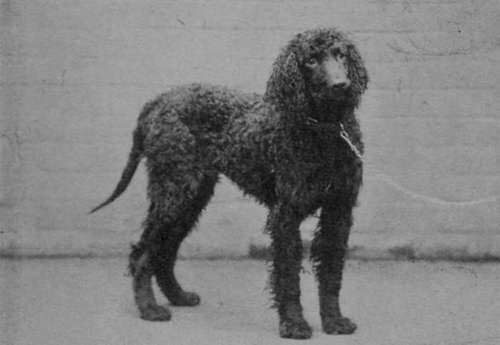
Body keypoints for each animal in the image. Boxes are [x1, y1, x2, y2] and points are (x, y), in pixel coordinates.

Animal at [92, 27, 368, 338]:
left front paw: (334, 320)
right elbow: (288, 275)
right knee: (144, 254)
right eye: (310, 60)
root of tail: (159, 100)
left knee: (164, 250)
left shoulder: (339, 211)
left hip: (192, 197)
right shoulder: (285, 214)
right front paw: (294, 324)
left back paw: (178, 296)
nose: (341, 85)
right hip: (174, 193)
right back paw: (149, 308)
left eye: (340, 54)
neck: (325, 133)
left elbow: (332, 272)